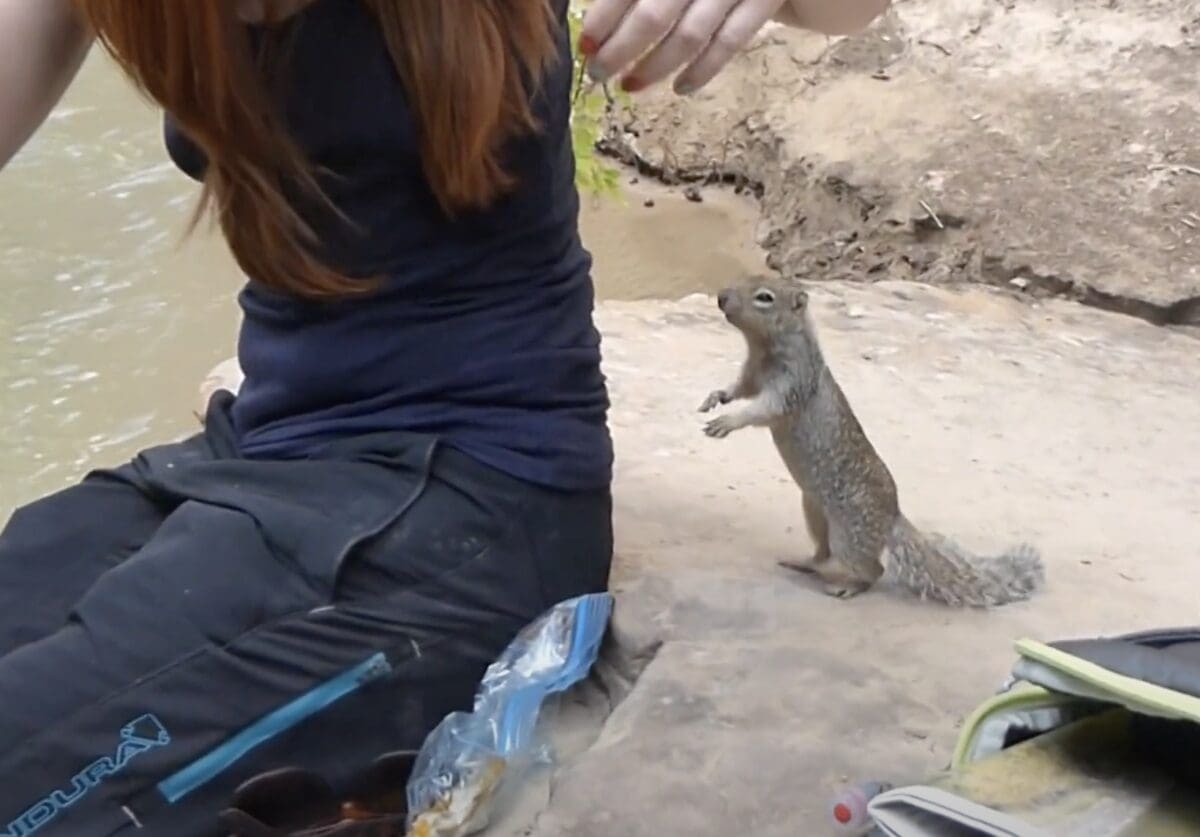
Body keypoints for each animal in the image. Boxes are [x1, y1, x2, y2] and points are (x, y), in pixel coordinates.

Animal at [699, 274, 1045, 607]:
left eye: (765, 297)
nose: (721, 297)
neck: (764, 348)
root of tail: (892, 516)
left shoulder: (792, 384)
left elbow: (763, 409)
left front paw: (727, 422)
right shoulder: (752, 375)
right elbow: (739, 389)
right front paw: (716, 397)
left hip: (850, 535)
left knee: (872, 569)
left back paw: (848, 587)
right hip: (815, 512)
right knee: (823, 552)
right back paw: (805, 563)